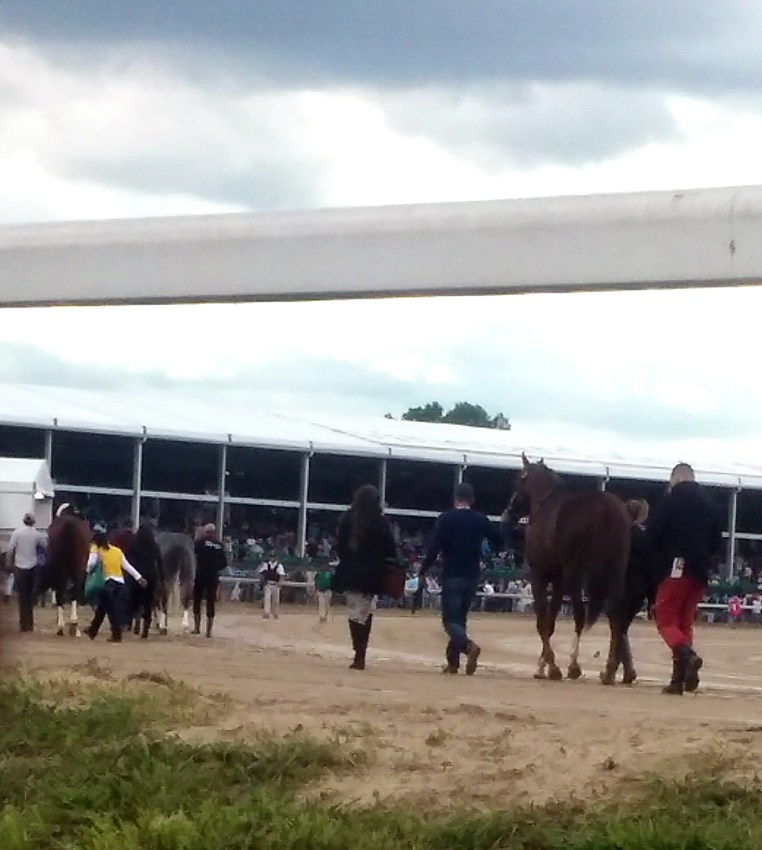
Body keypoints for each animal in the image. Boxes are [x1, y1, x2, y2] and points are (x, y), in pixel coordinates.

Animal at [41, 503, 92, 637]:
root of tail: (68, 524)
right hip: (75, 568)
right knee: (72, 591)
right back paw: (71, 625)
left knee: (61, 592)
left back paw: (62, 626)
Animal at [505, 454, 631, 684]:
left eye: (518, 480)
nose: (509, 511)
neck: (545, 505)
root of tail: (607, 508)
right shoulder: (558, 579)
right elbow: (551, 621)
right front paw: (544, 664)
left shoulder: (539, 576)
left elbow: (543, 621)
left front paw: (550, 666)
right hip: (614, 573)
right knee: (616, 617)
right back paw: (608, 671)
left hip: (576, 574)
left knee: (580, 615)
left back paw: (574, 665)